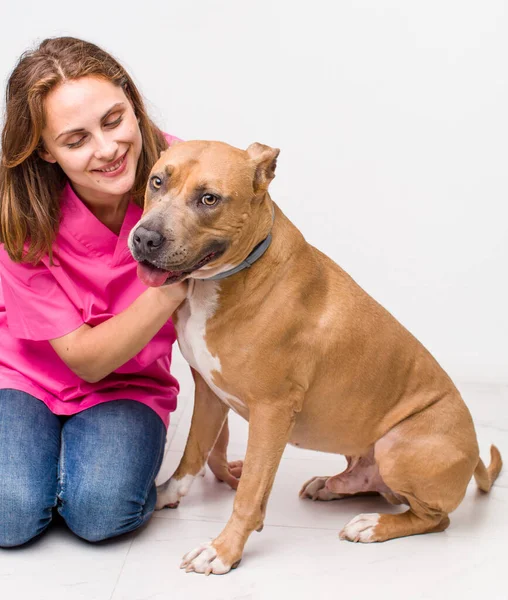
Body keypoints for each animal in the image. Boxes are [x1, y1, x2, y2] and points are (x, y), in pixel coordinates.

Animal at [129, 142, 502, 576]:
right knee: (377, 487)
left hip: (399, 445)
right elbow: (193, 453)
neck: (233, 277)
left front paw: (223, 550)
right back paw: (333, 485)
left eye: (209, 199)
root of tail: (474, 453)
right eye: (158, 181)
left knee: (434, 518)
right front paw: (167, 493)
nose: (145, 238)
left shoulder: (272, 412)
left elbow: (251, 492)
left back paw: (372, 526)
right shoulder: (209, 392)